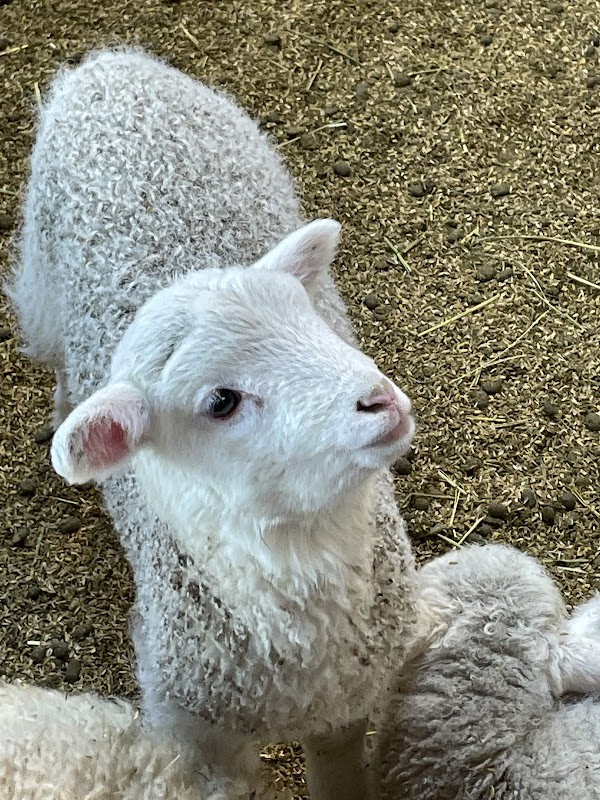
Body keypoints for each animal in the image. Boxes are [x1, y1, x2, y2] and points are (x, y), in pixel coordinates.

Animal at [7, 49, 417, 800]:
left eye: (310, 320)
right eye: (221, 401)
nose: (380, 401)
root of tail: (110, 62)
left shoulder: (347, 708)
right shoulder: (198, 739)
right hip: (39, 283)